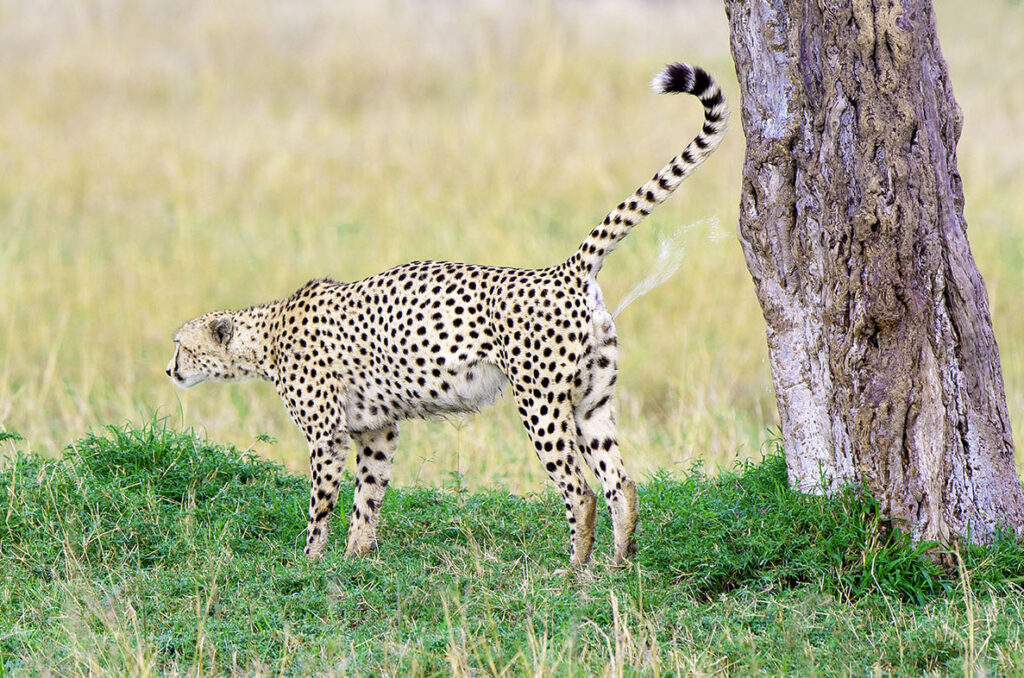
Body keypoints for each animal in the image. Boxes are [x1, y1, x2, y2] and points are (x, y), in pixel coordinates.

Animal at [166, 62, 728, 566]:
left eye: (181, 345)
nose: (169, 371)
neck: (267, 333)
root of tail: (561, 270)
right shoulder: (377, 431)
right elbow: (368, 497)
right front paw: (357, 560)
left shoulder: (328, 436)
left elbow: (321, 505)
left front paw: (310, 563)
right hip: (593, 399)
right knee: (622, 483)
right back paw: (617, 565)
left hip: (540, 404)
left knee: (581, 489)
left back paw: (574, 569)